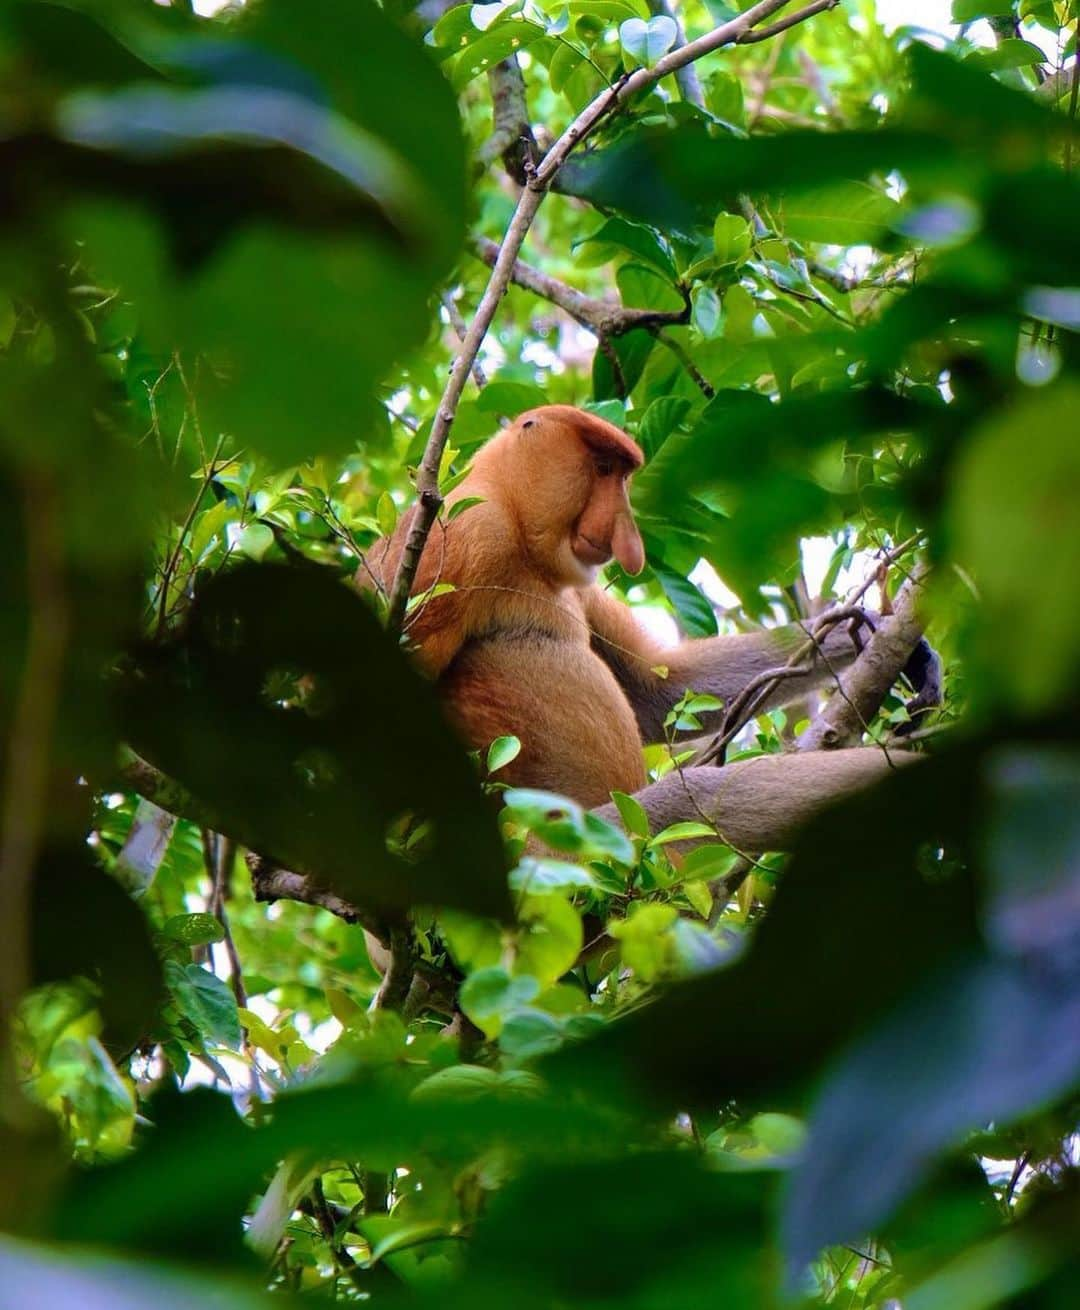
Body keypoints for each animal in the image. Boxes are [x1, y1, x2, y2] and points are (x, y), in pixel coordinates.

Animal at [364, 403, 886, 806]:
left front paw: (873, 629)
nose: (625, 539)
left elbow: (658, 692)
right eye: (602, 469)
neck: (518, 527)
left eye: (621, 477)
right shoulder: (466, 538)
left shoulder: (580, 587)